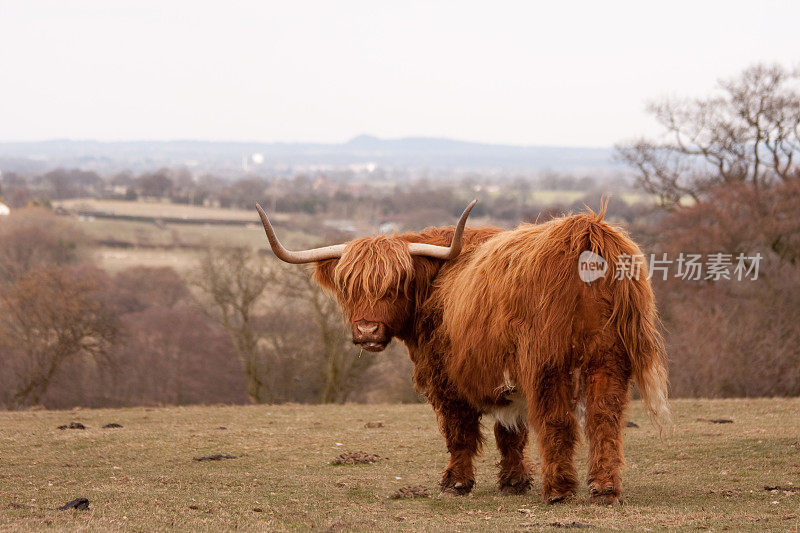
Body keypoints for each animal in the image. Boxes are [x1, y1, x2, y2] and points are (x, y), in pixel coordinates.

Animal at [256, 200, 668, 502]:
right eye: (348, 286)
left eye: (396, 282)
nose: (367, 330)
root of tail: (585, 230)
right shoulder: (502, 378)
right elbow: (510, 432)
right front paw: (514, 482)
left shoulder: (446, 377)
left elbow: (460, 432)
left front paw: (456, 482)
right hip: (609, 358)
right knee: (604, 417)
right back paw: (604, 488)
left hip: (548, 362)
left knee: (557, 419)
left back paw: (559, 490)